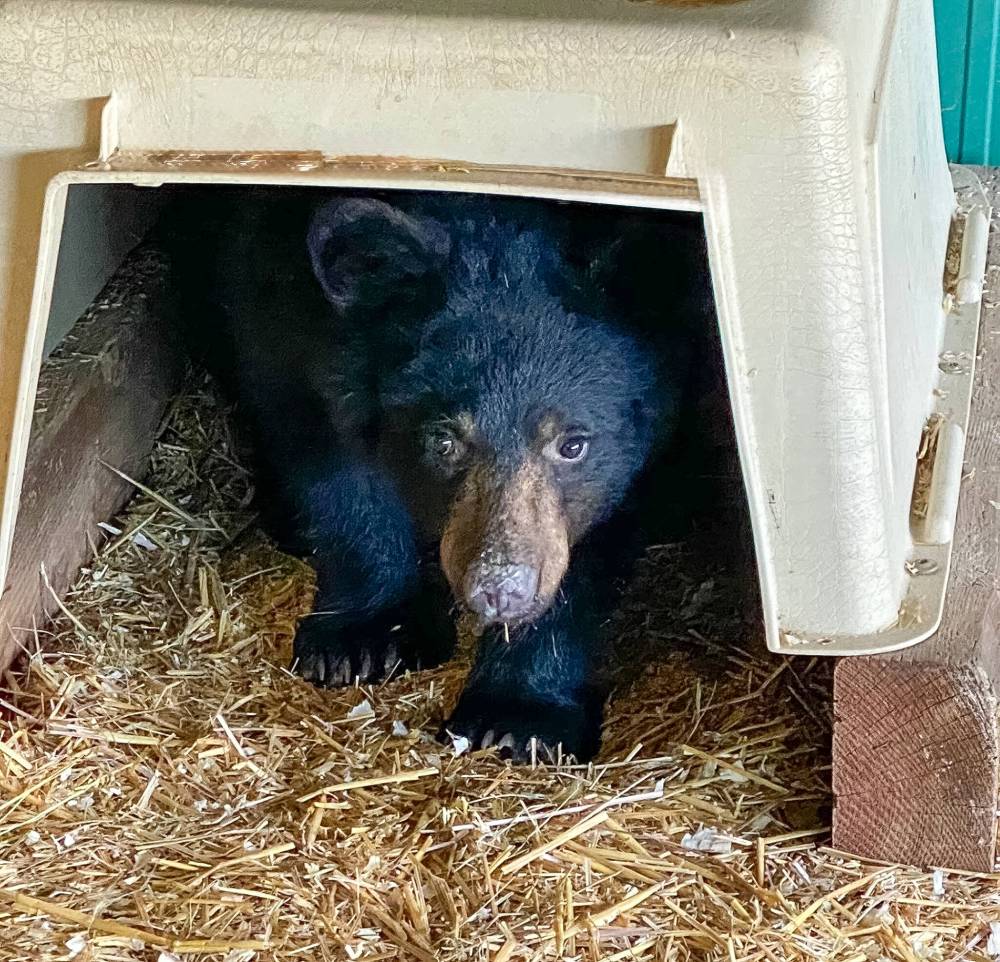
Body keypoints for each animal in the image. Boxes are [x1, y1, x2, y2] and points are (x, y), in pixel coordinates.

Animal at [162, 186, 714, 762]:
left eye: (573, 444)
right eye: (444, 441)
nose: (499, 588)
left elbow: (596, 541)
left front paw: (518, 719)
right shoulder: (278, 299)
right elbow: (328, 456)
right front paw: (362, 639)